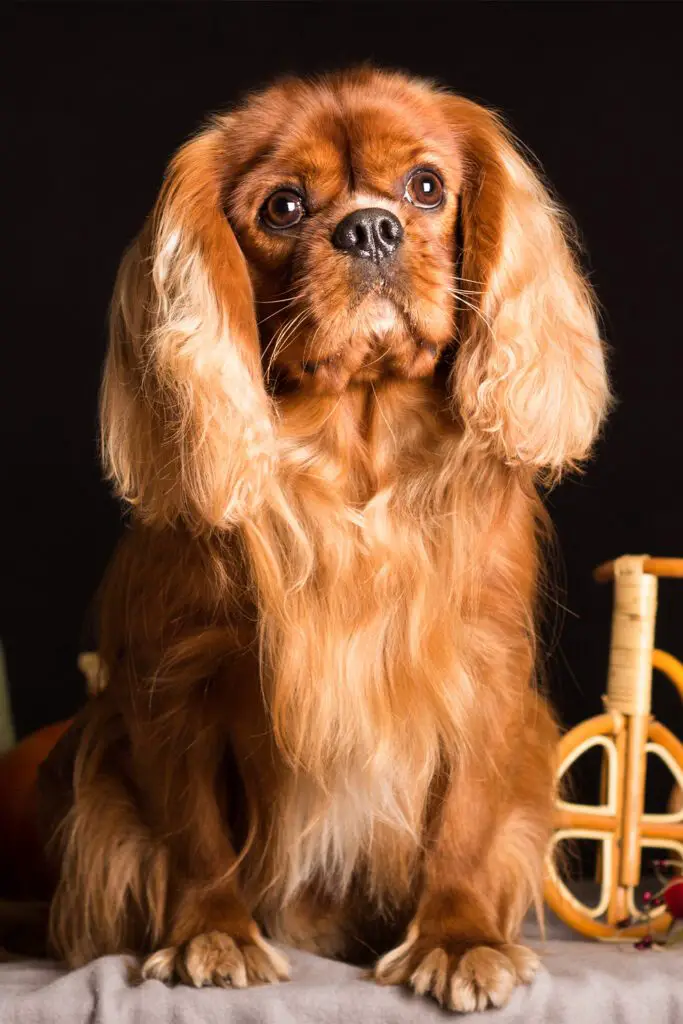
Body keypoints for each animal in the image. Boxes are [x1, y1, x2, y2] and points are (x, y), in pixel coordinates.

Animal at [42, 68, 610, 1011]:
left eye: (425, 187)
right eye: (282, 207)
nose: (369, 226)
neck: (355, 448)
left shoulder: (483, 672)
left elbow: (463, 820)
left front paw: (455, 939)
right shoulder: (174, 688)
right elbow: (195, 832)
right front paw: (213, 933)